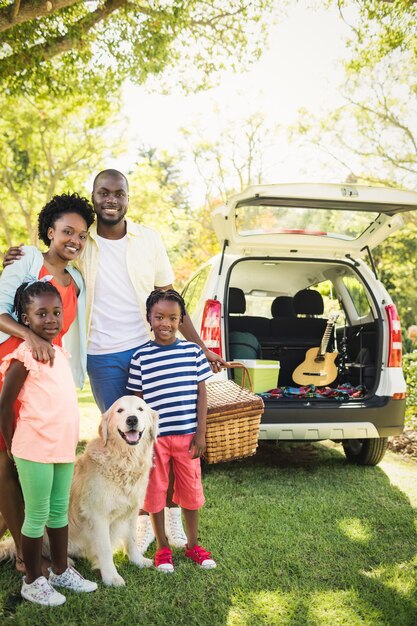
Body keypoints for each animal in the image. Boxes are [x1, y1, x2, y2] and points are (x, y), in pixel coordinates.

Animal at [67, 394, 158, 584]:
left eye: (140, 409)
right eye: (120, 410)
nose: (132, 419)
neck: (124, 462)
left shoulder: (132, 511)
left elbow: (131, 539)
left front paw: (137, 560)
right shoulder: (98, 515)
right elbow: (105, 548)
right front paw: (111, 576)